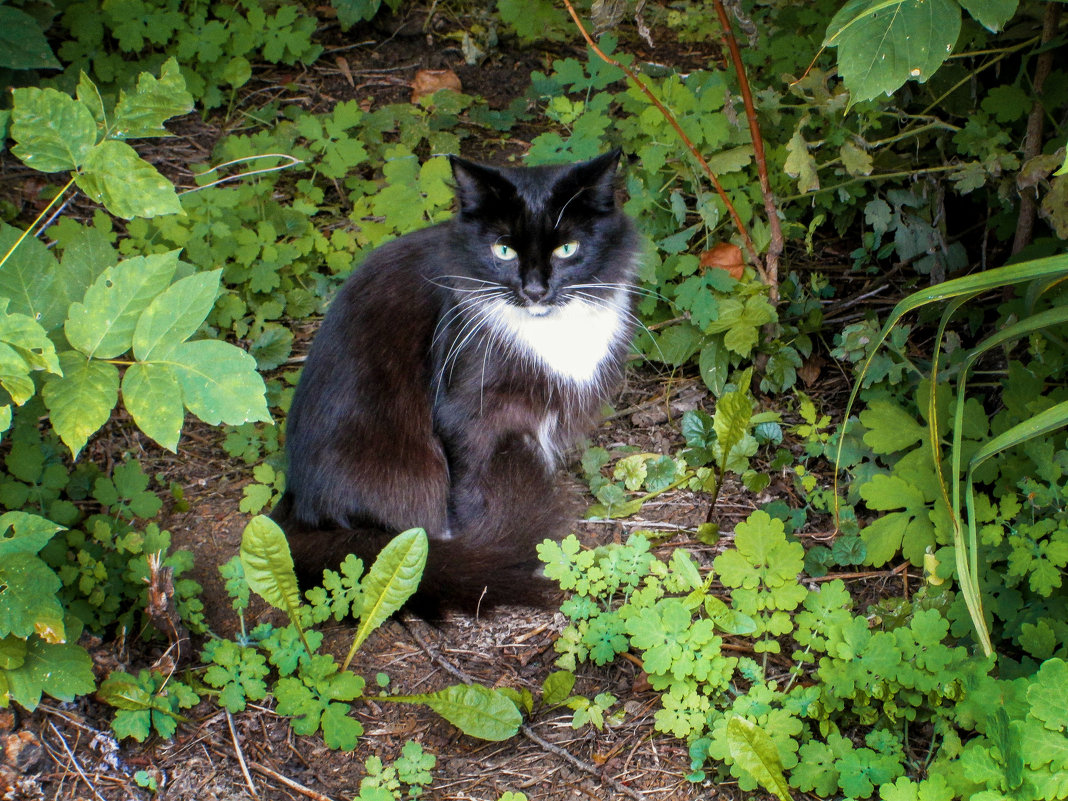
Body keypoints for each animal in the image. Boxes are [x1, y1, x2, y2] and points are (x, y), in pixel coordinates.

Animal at [275, 149, 636, 615]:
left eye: (567, 249)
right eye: (503, 250)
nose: (535, 290)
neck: (546, 332)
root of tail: (295, 501)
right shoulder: (466, 412)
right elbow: (469, 488)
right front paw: (495, 552)